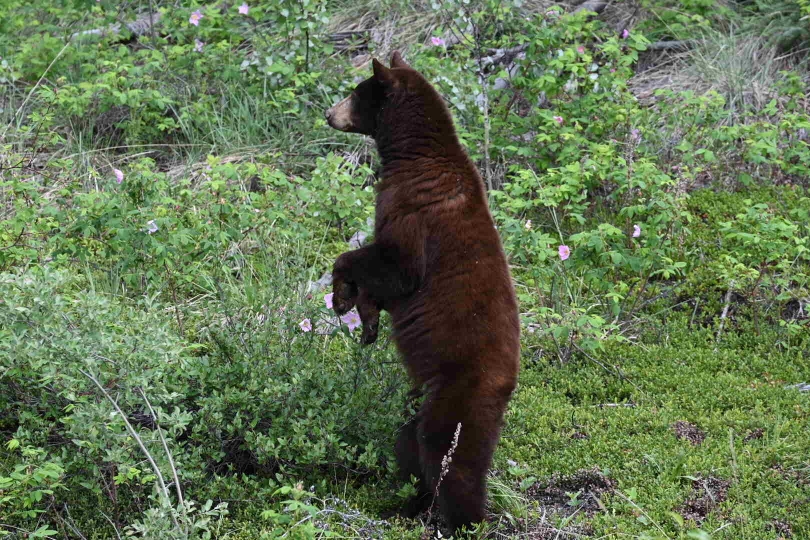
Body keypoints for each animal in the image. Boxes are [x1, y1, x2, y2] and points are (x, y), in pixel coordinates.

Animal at [324, 52, 516, 532]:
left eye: (355, 92)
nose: (329, 114)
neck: (415, 155)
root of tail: (508, 382)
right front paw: (367, 321)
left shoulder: (411, 215)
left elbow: (391, 265)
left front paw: (341, 295)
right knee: (408, 441)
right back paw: (409, 503)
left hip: (461, 392)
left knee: (447, 452)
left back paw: (461, 519)